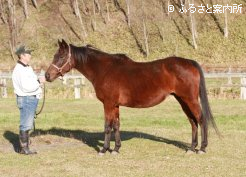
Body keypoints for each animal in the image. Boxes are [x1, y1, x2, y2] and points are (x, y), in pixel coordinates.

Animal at [44, 39, 219, 155]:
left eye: (60, 57)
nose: (47, 76)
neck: (104, 69)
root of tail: (189, 62)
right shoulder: (115, 105)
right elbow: (116, 125)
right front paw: (116, 149)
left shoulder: (108, 104)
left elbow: (107, 126)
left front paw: (104, 149)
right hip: (182, 100)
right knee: (193, 122)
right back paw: (191, 148)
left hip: (190, 99)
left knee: (201, 120)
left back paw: (202, 148)